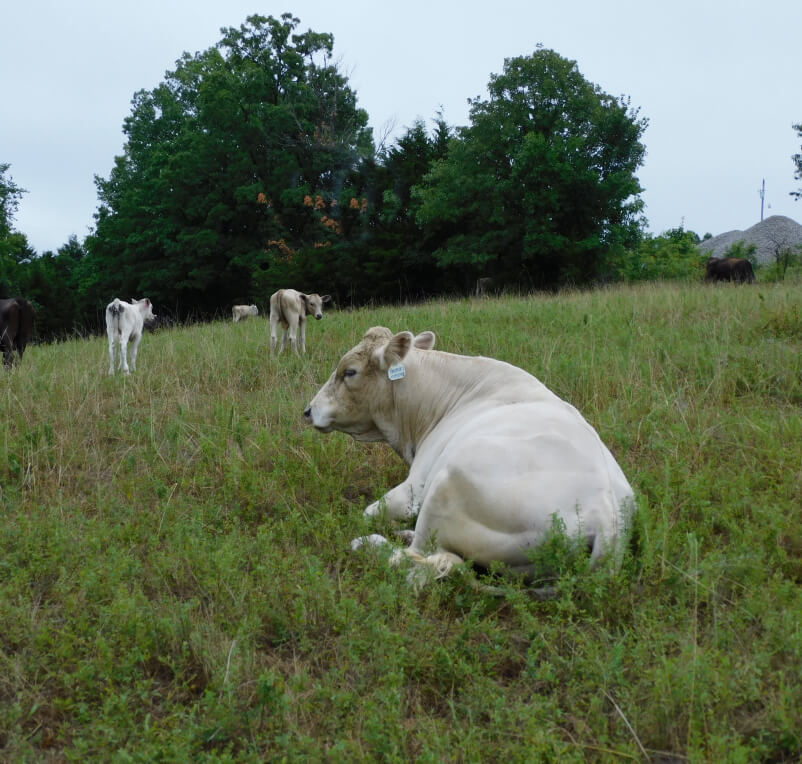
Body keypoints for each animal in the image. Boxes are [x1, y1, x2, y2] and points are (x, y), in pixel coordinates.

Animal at [304, 326, 635, 591]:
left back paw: (370, 543)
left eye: (349, 372)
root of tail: (606, 515)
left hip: (447, 484)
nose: (308, 410)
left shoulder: (413, 488)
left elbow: (368, 513)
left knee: (416, 556)